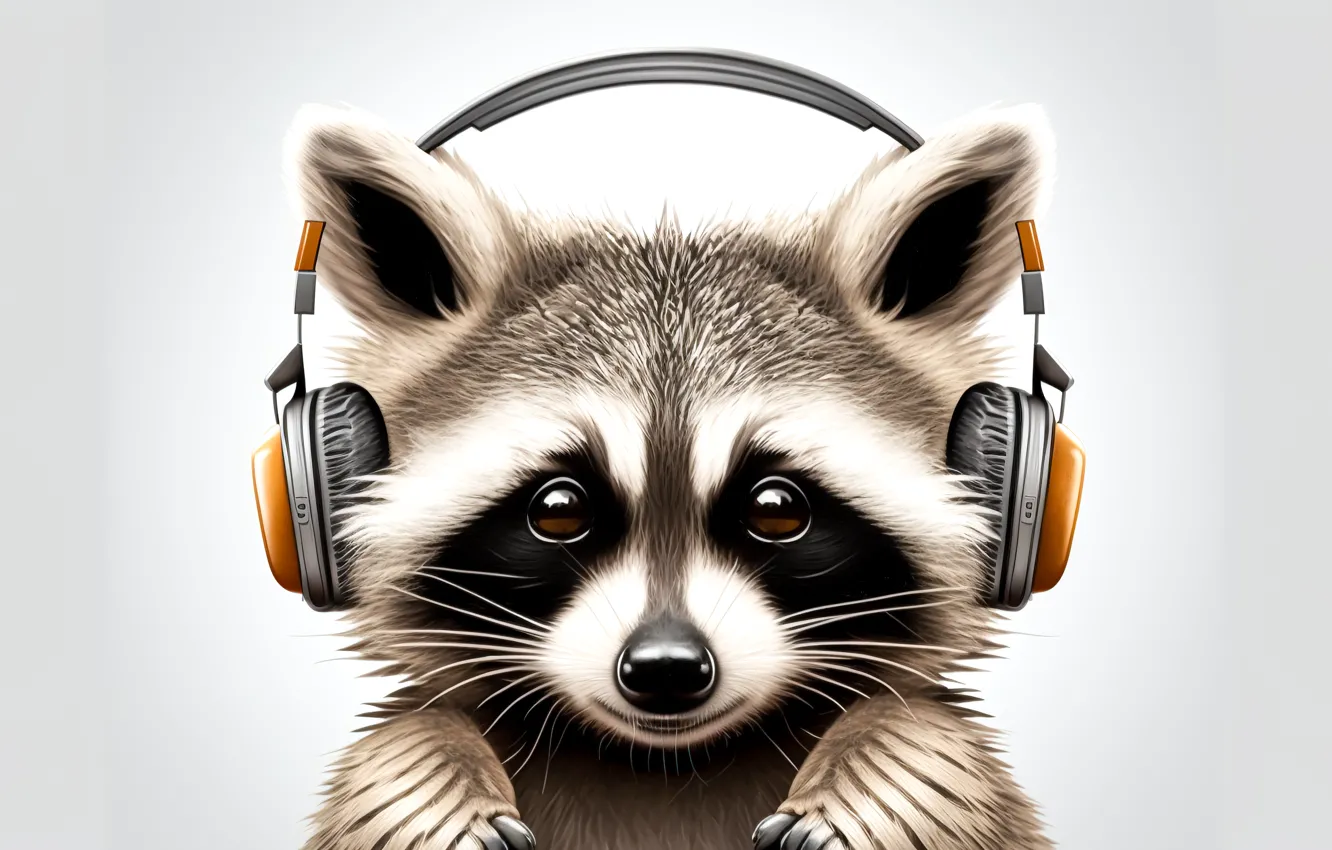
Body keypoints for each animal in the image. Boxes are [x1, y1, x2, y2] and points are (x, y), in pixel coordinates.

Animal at [283, 99, 1057, 850]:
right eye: (559, 508)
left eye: (777, 507)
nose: (666, 667)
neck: (665, 763)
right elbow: (406, 741)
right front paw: (430, 778)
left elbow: (931, 741)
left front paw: (883, 767)